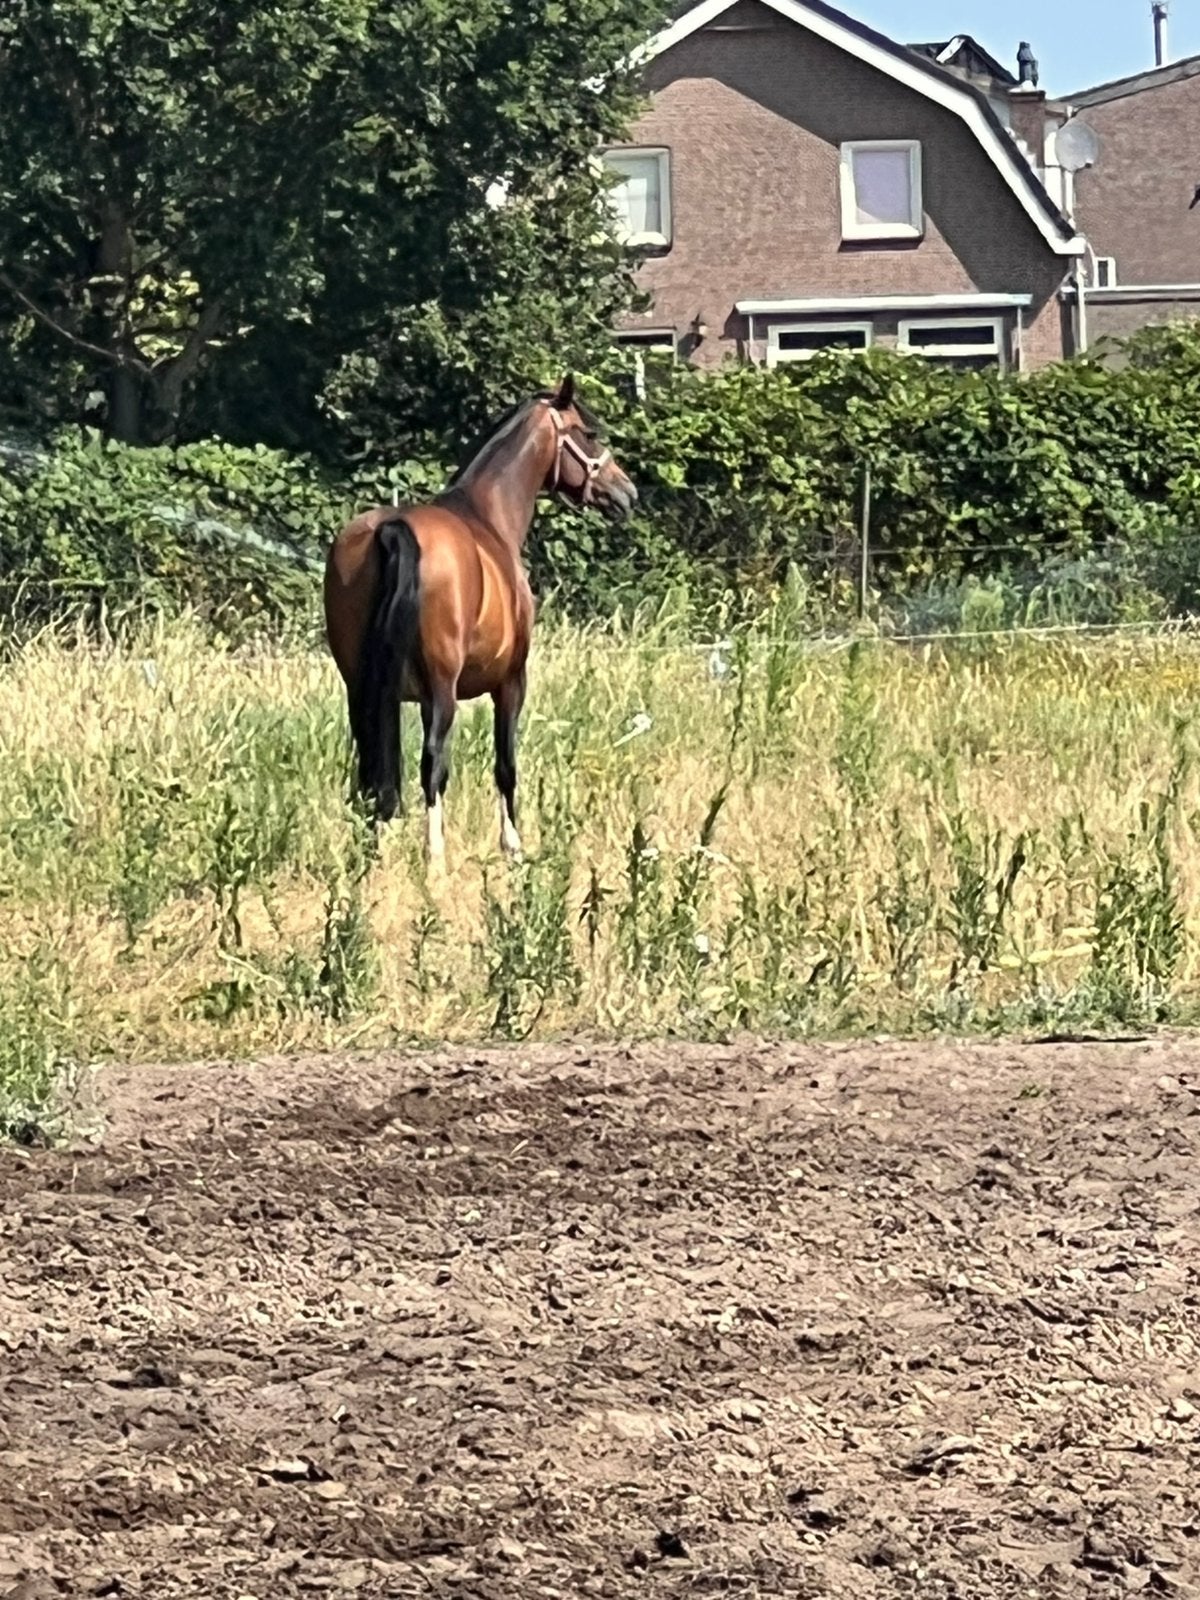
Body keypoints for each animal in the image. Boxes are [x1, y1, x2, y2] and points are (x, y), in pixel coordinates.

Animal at [323, 373, 638, 864]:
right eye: (589, 434)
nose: (627, 493)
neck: (488, 517)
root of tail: (392, 530)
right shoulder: (510, 683)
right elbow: (505, 765)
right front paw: (513, 846)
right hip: (441, 689)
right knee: (432, 763)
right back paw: (435, 858)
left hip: (362, 688)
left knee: (370, 769)